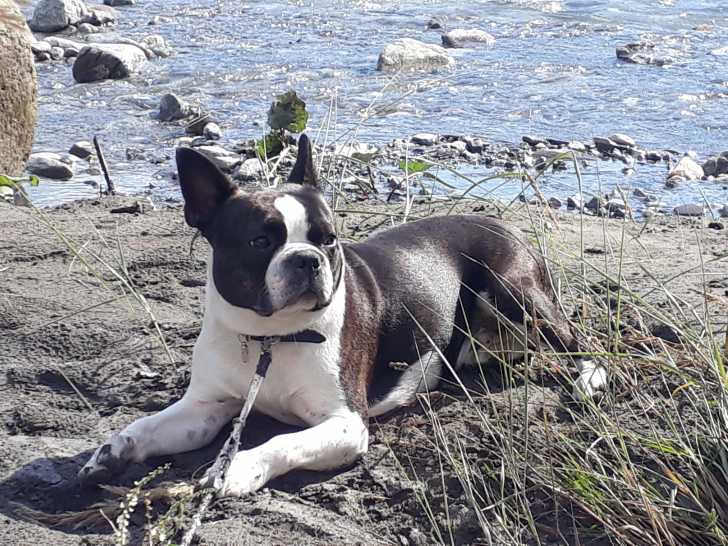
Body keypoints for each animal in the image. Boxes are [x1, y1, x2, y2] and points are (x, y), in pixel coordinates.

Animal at [79, 134, 606, 496]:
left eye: (328, 239)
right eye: (260, 241)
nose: (306, 259)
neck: (271, 338)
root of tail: (504, 223)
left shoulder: (345, 423)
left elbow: (280, 442)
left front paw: (238, 467)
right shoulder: (207, 408)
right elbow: (147, 426)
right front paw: (113, 450)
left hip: (515, 293)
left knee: (582, 342)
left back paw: (589, 378)